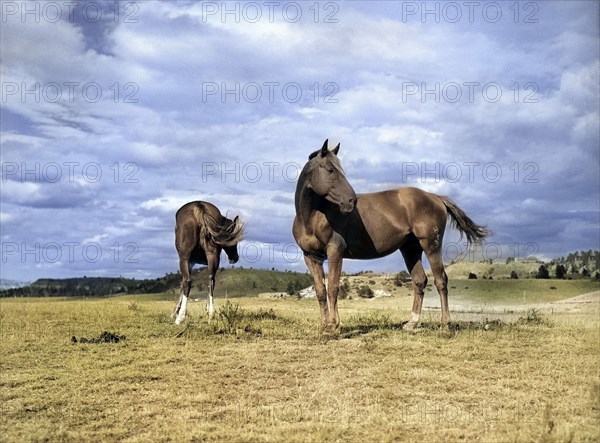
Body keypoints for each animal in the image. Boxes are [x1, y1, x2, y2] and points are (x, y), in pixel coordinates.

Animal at [292, 140, 490, 334]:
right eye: (330, 169)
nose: (351, 201)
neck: (313, 217)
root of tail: (435, 197)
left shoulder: (335, 251)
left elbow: (333, 288)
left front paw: (333, 326)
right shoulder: (311, 257)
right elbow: (320, 291)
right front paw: (325, 325)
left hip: (431, 246)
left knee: (441, 280)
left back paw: (445, 324)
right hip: (410, 249)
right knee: (420, 281)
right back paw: (411, 323)